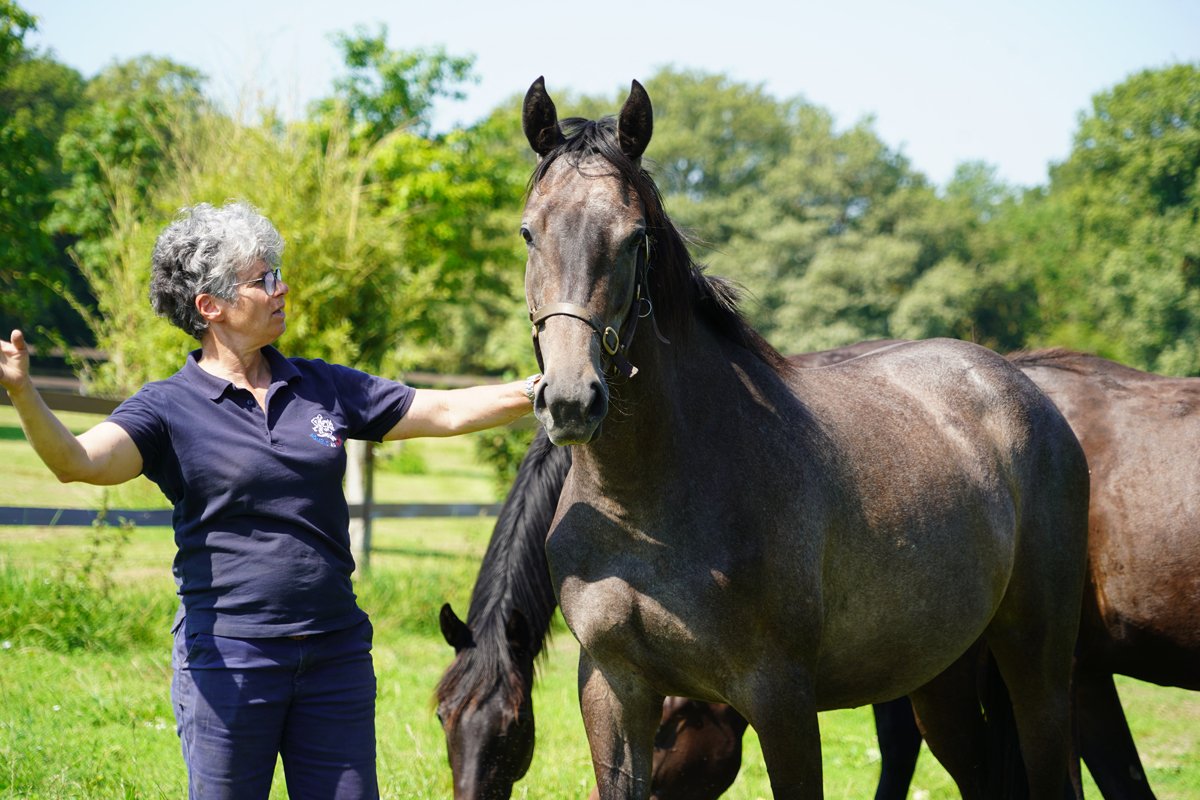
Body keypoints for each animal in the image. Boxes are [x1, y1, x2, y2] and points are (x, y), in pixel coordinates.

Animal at [520, 75, 1089, 799]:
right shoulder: (613, 690)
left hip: (1037, 665)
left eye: (634, 237)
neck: (646, 507)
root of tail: (1026, 392)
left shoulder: (780, 700)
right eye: (529, 232)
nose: (571, 399)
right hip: (941, 679)